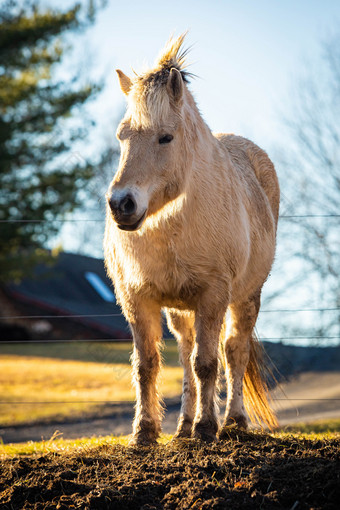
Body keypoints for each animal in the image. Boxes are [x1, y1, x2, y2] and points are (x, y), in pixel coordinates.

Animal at [103, 33, 278, 444]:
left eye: (165, 137)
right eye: (122, 136)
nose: (121, 204)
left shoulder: (213, 296)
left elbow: (208, 362)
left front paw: (207, 427)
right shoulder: (137, 300)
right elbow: (148, 365)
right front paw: (144, 432)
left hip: (246, 296)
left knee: (234, 350)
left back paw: (233, 420)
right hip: (180, 309)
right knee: (184, 353)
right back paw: (182, 426)